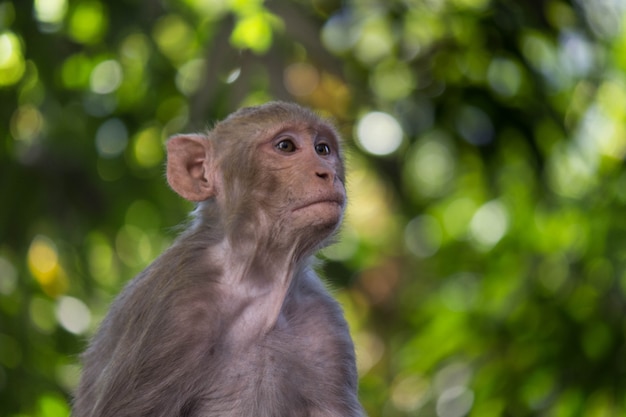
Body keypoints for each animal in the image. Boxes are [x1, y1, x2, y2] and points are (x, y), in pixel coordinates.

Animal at [70, 101, 364, 416]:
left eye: (322, 149)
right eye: (286, 146)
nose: (326, 173)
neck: (257, 283)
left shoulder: (326, 326)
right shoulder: (174, 312)